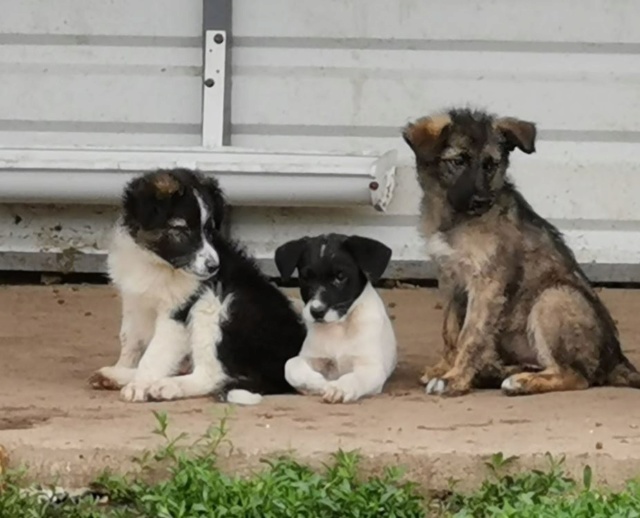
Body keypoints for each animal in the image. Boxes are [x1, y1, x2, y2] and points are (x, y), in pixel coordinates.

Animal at [90, 169, 308, 408]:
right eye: (182, 230)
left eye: (209, 230)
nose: (214, 266)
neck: (158, 264)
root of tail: (281, 372)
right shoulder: (134, 302)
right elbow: (130, 341)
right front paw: (124, 369)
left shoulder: (178, 312)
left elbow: (155, 352)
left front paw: (139, 385)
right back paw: (117, 376)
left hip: (216, 304)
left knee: (212, 374)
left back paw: (167, 386)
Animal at [274, 236, 396, 406]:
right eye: (305, 277)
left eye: (340, 277)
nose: (316, 311)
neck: (339, 327)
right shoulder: (312, 358)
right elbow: (290, 365)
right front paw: (317, 383)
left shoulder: (371, 368)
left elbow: (354, 377)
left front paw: (340, 388)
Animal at [404, 106, 640, 398]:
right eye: (458, 161)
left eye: (490, 164)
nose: (481, 201)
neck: (455, 218)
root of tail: (617, 360)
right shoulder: (449, 279)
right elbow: (450, 331)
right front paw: (444, 368)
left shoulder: (487, 283)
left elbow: (470, 335)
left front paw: (454, 378)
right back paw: (500, 372)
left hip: (554, 298)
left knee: (576, 376)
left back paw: (521, 381)